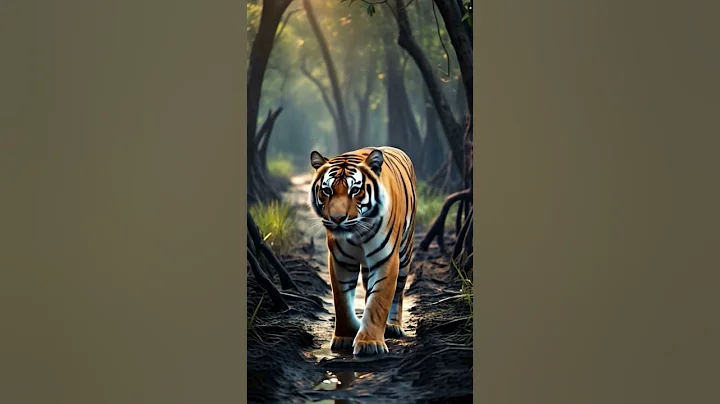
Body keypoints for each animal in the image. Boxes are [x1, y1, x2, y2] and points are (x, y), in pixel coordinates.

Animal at [308, 146, 417, 356]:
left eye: (355, 190)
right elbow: (342, 301)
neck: (358, 233)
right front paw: (346, 336)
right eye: (327, 190)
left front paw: (369, 343)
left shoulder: (386, 259)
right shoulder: (340, 261)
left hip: (405, 253)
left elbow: (378, 302)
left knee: (398, 292)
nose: (337, 219)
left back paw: (393, 326)